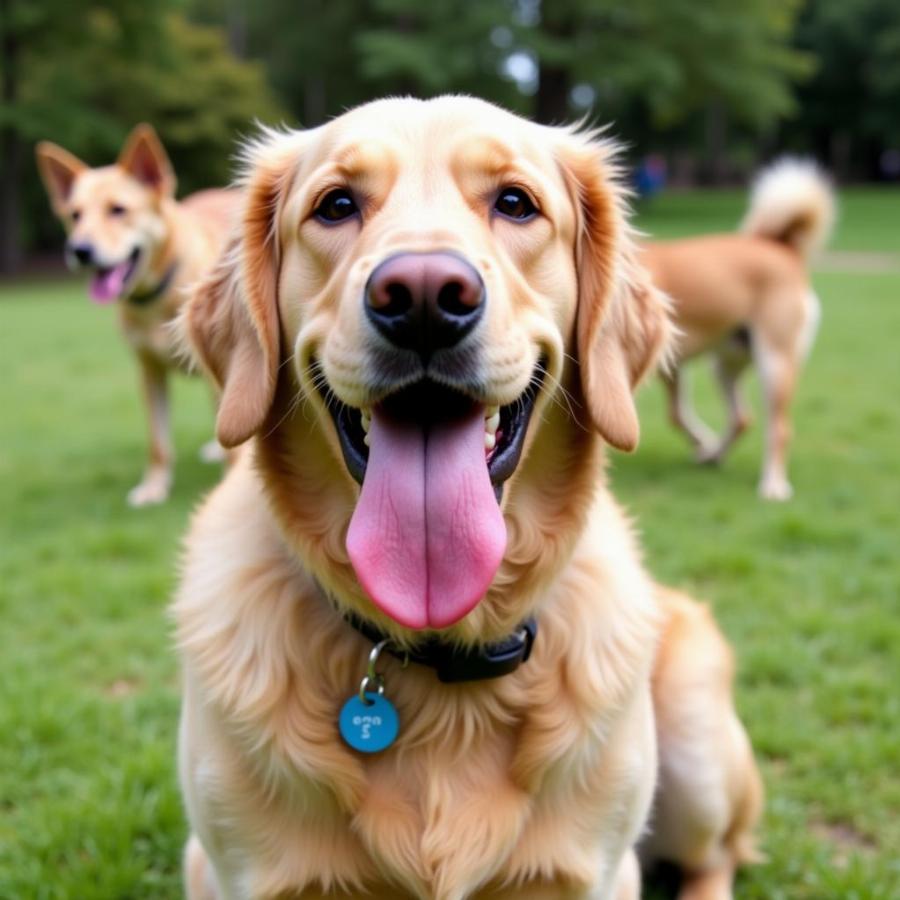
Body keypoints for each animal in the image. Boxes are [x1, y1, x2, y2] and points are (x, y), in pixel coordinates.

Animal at [36, 125, 239, 506]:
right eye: (75, 215)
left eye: (118, 210)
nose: (80, 250)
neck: (156, 299)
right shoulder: (148, 371)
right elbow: (158, 443)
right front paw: (153, 488)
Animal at [171, 98, 760, 900]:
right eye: (336, 206)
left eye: (515, 203)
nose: (423, 297)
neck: (438, 644)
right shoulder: (228, 868)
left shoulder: (599, 873)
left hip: (696, 753)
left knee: (715, 858)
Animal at [640, 160, 836, 500]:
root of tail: (779, 246)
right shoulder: (671, 366)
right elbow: (677, 415)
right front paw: (703, 444)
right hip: (726, 363)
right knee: (742, 418)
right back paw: (713, 455)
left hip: (775, 362)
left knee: (779, 428)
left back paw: (773, 485)